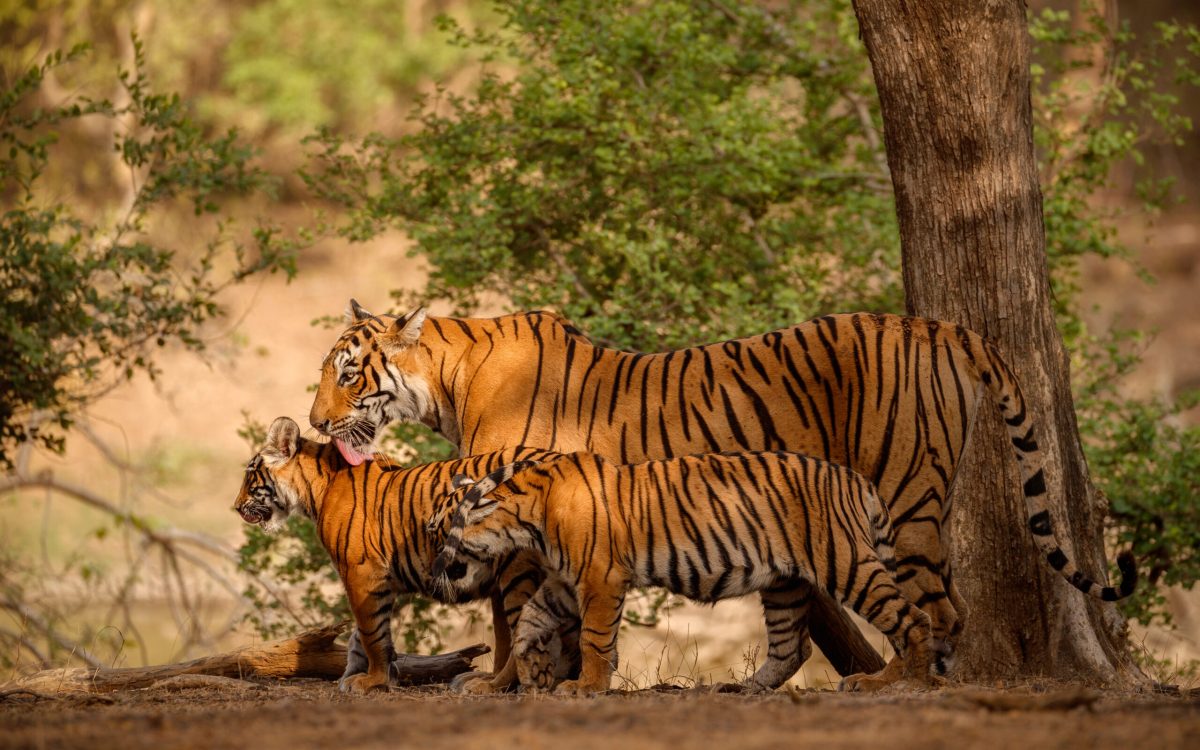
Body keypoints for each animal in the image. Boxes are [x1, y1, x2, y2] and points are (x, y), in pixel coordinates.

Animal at [231, 415, 577, 694]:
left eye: (250, 476)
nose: (235, 507)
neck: (316, 488)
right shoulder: (378, 578)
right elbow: (363, 636)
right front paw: (366, 676)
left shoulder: (361, 572)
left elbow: (371, 633)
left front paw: (372, 680)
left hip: (517, 571)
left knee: (527, 636)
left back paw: (491, 686)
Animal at [427, 451, 946, 695]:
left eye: (436, 531)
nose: (433, 573)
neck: (527, 521)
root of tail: (858, 480)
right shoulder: (562, 582)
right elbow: (527, 625)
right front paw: (512, 678)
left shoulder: (599, 578)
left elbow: (595, 639)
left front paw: (585, 687)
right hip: (785, 584)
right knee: (790, 647)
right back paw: (740, 687)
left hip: (846, 561)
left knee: (914, 619)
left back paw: (900, 682)